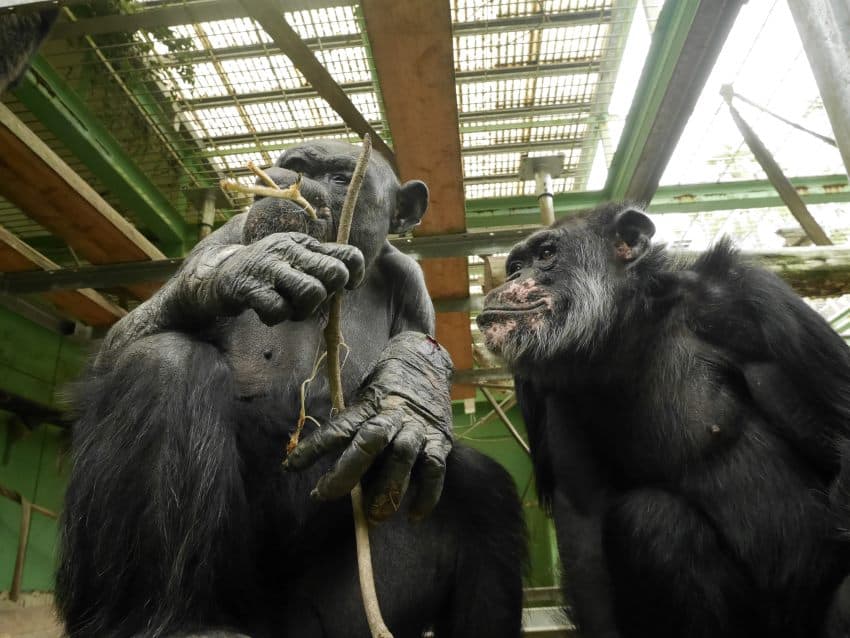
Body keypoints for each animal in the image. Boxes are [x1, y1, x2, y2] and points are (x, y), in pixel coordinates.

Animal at [58, 142, 524, 638]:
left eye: (340, 178)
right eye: (296, 166)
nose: (288, 181)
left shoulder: (410, 279)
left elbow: (421, 342)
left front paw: (409, 395)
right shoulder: (228, 232)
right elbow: (117, 343)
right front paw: (250, 267)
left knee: (481, 486)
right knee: (161, 363)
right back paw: (168, 620)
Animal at [474, 206, 848, 638]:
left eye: (547, 253)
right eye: (515, 265)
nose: (513, 278)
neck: (623, 332)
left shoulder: (754, 301)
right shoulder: (544, 392)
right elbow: (584, 525)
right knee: (654, 518)